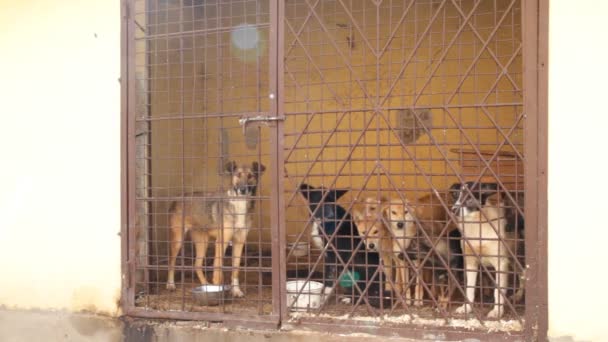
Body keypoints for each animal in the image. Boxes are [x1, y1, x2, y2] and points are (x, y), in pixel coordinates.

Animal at [165, 160, 264, 296]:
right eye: (238, 175)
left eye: (250, 176)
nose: (243, 189)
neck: (239, 204)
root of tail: (178, 197)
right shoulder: (222, 241)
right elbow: (217, 267)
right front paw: (219, 289)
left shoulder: (239, 241)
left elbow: (236, 268)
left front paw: (236, 290)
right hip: (178, 240)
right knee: (171, 262)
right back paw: (170, 285)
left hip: (202, 241)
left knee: (197, 265)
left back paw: (206, 285)